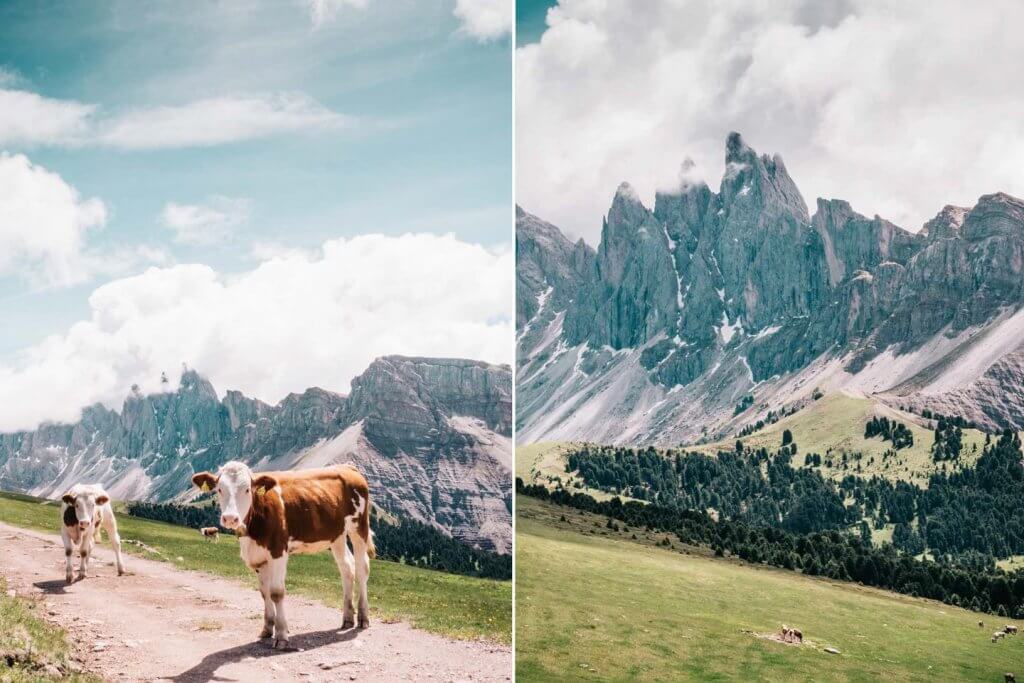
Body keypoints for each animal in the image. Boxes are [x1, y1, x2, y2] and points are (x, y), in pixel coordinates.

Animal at [190, 458, 374, 647]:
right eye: (219, 489)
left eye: (247, 489)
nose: (230, 518)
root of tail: (348, 467)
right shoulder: (260, 559)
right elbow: (264, 593)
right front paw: (267, 629)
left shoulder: (278, 550)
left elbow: (276, 592)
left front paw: (281, 635)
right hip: (337, 535)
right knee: (347, 568)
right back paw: (347, 618)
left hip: (359, 527)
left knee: (362, 569)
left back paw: (363, 618)